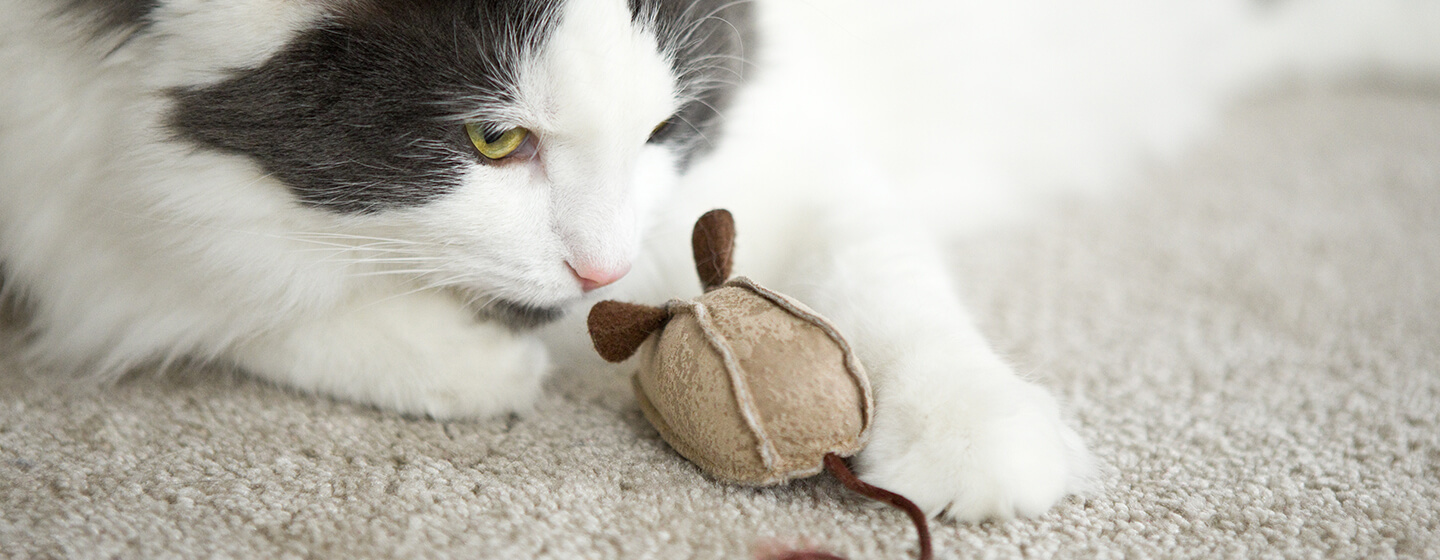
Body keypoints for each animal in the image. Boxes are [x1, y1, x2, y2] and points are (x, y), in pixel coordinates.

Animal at [2, 0, 1440, 518]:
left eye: (664, 125)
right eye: (493, 138)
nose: (602, 270)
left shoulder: (783, 144)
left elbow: (884, 276)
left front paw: (977, 439)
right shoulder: (57, 174)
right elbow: (197, 268)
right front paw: (456, 355)